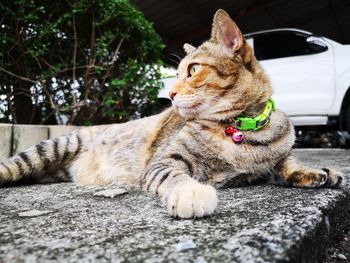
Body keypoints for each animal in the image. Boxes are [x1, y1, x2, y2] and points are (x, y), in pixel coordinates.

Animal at [0, 9, 342, 220]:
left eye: (192, 69)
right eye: (176, 73)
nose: (170, 94)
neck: (241, 127)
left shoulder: (267, 162)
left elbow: (286, 162)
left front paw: (316, 171)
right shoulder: (166, 161)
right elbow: (175, 176)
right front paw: (192, 192)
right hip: (51, 148)